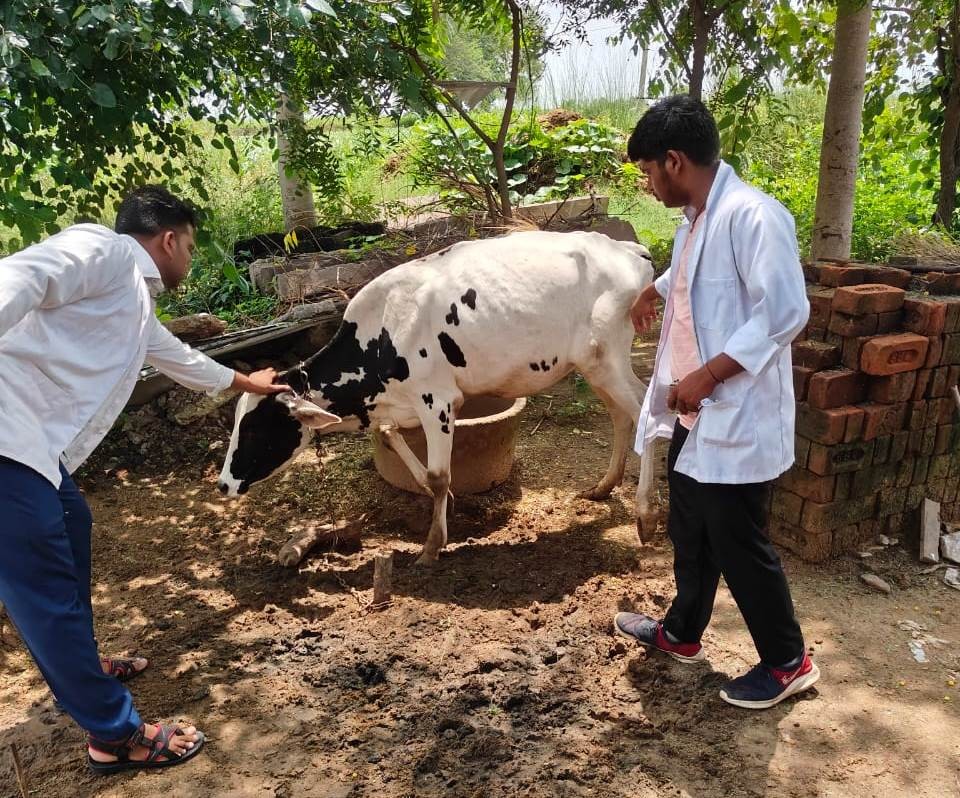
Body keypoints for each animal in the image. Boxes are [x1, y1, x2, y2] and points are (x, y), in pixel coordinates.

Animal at [219, 228, 652, 564]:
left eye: (255, 429)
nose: (223, 485)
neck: (380, 338)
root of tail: (628, 249)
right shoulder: (401, 405)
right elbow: (392, 438)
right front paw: (438, 500)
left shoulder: (437, 401)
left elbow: (440, 474)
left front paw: (432, 546)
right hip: (593, 367)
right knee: (620, 416)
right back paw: (604, 486)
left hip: (607, 359)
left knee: (643, 411)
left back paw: (645, 514)